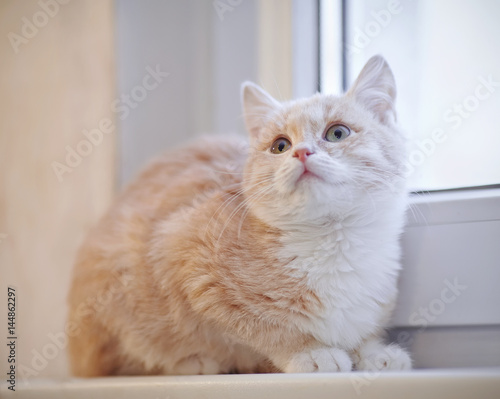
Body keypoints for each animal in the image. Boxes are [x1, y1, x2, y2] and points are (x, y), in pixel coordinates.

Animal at [67, 54, 410, 376]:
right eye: (280, 146)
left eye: (337, 133)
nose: (302, 153)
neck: (332, 240)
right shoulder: (187, 260)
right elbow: (265, 327)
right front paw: (310, 352)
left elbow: (363, 332)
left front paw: (373, 352)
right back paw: (192, 363)